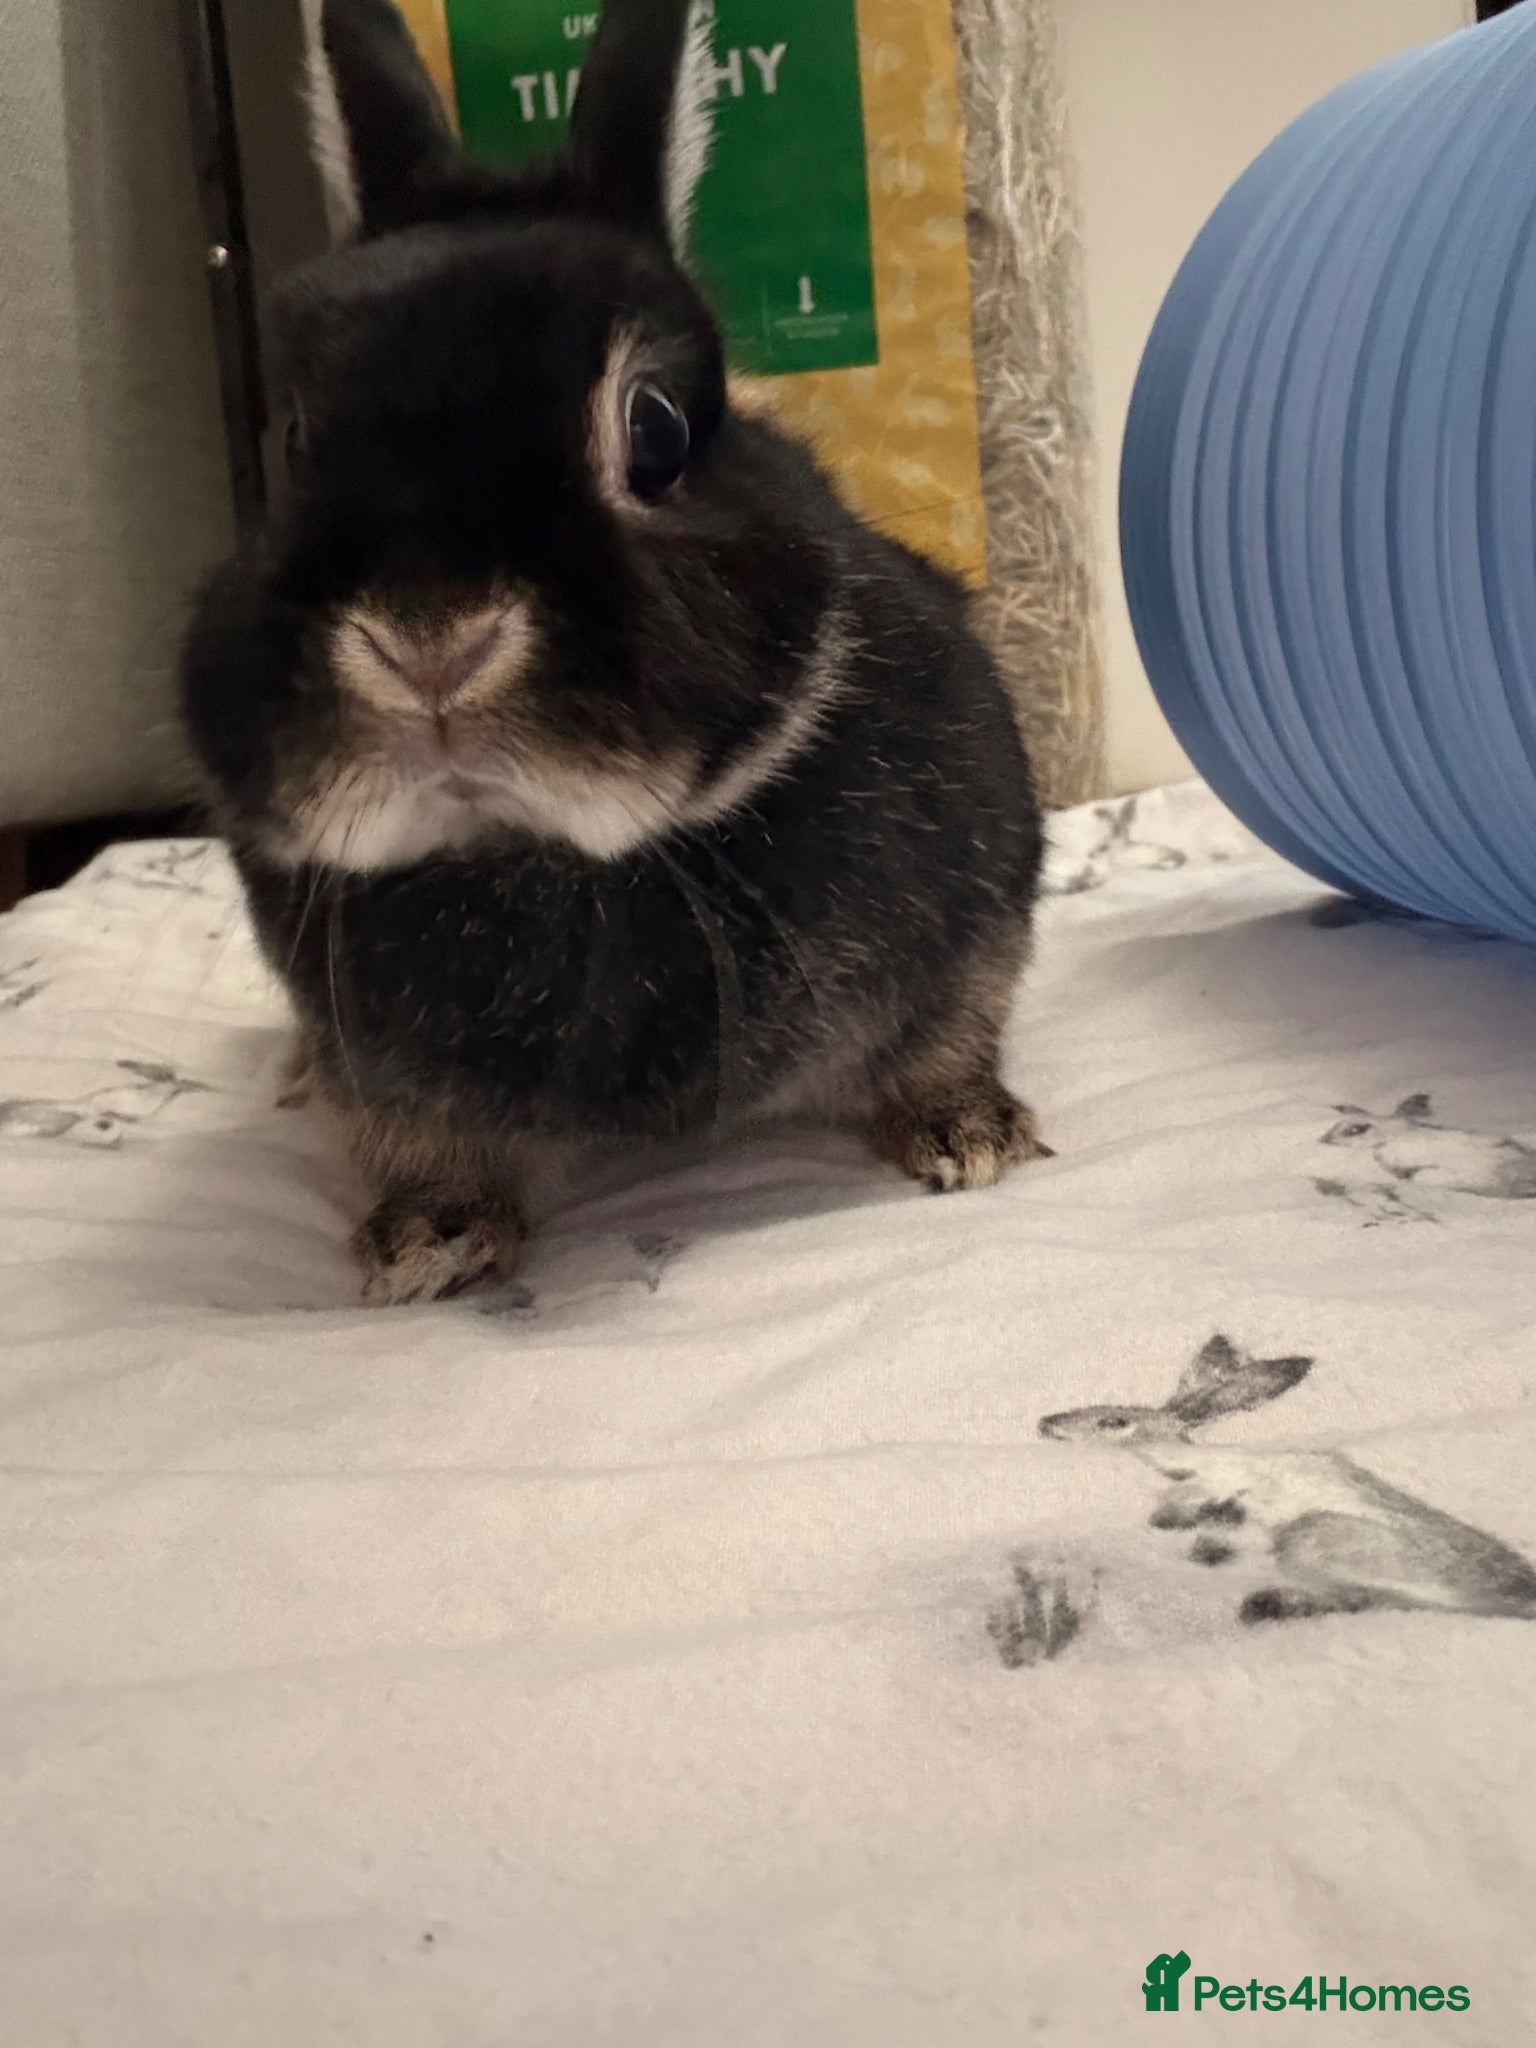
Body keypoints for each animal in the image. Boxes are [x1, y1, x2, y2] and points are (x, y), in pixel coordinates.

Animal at [179, 0, 1050, 1306]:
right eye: (289, 442)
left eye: (656, 431)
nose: (429, 641)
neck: (536, 855)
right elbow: (406, 1130)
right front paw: (429, 1240)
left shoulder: (979, 895)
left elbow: (958, 1016)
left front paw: (969, 1133)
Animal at [1041, 1336, 1536, 1625]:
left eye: (1112, 1421)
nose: (1045, 1424)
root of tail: (1521, 1597)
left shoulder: (1222, 1478)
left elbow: (1190, 1499)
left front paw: (1177, 1519)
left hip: (1313, 1535)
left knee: (1371, 1600)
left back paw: (1264, 1602)